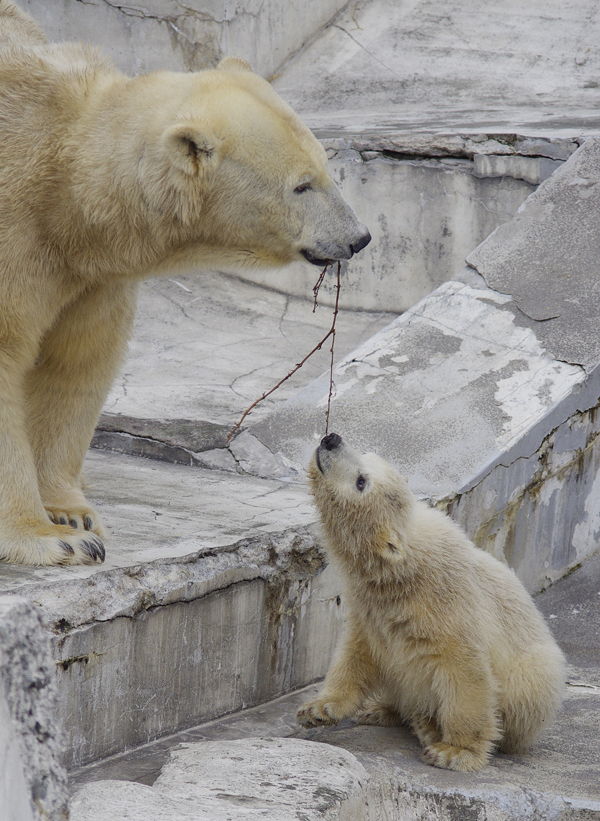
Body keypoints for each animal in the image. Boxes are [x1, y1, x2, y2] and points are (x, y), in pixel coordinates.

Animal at [0, 1, 370, 564]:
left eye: (325, 168)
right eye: (301, 185)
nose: (359, 237)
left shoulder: (88, 272)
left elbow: (77, 358)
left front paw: (71, 514)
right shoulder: (18, 237)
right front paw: (52, 539)